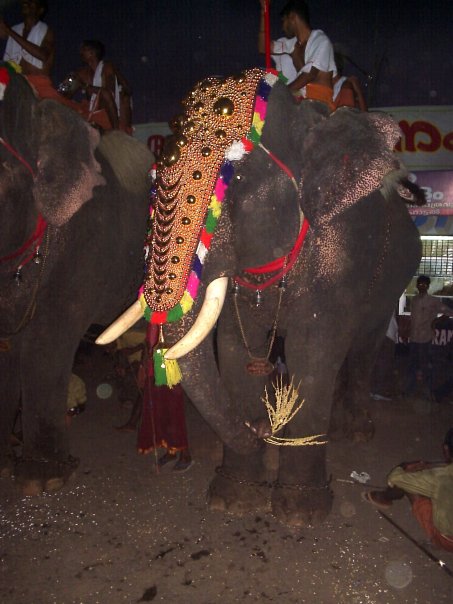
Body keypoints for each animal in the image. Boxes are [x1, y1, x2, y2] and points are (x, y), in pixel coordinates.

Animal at [98, 68, 420, 528]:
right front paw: (234, 500)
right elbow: (234, 349)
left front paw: (301, 512)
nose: (262, 431)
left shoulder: (340, 252)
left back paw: (356, 432)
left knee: (364, 345)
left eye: (235, 181)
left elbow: (311, 351)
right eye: (153, 182)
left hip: (393, 278)